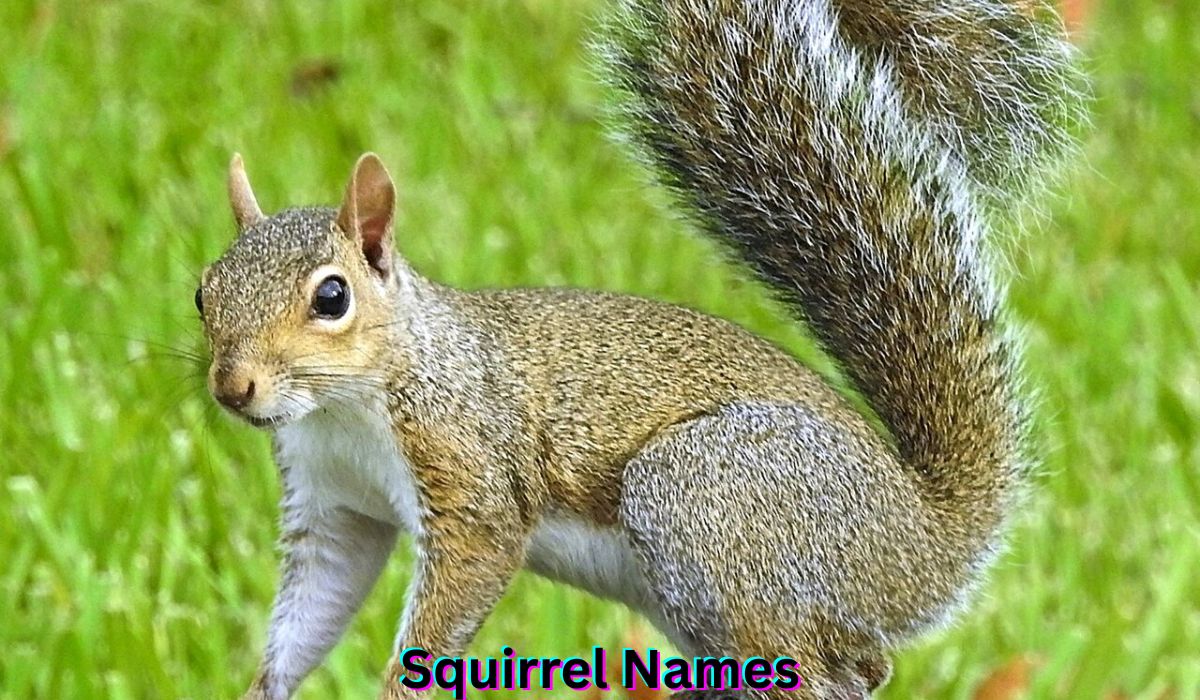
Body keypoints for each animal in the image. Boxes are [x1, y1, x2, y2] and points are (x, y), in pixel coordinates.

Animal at [196, 0, 1080, 698]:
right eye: (204, 291)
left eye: (332, 297)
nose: (233, 388)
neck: (344, 407)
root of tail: (926, 538)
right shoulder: (335, 507)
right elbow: (316, 605)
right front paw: (263, 689)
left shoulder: (468, 471)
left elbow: (465, 577)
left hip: (711, 496)